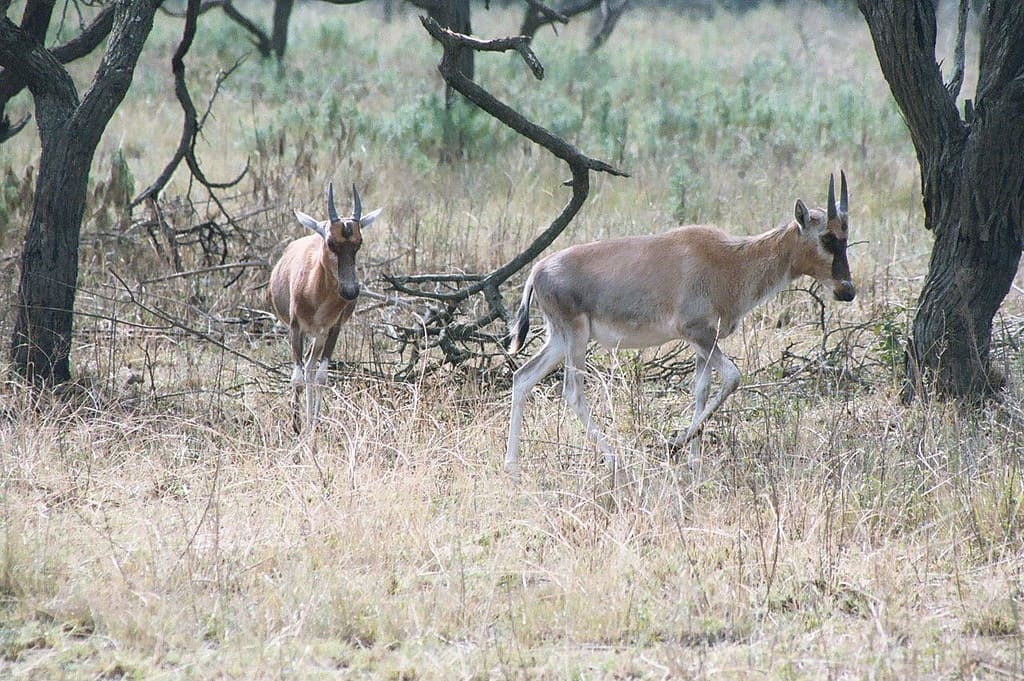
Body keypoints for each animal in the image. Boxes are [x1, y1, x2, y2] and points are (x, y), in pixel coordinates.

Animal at [268, 182, 382, 433]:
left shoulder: (333, 329)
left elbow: (321, 376)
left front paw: (315, 423)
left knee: (311, 367)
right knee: (305, 369)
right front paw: (296, 427)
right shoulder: (295, 328)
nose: (350, 291)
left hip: (319, 335)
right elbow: (296, 377)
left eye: (358, 243)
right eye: (331, 242)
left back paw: (311, 420)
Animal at [505, 172, 854, 478]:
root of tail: (537, 270)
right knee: (573, 392)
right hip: (575, 339)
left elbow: (702, 389)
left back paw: (513, 467)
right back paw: (616, 461)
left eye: (845, 237)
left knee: (523, 378)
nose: (847, 290)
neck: (728, 260)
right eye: (826, 237)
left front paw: (693, 462)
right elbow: (733, 377)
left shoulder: (705, 342)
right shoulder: (696, 333)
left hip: (559, 340)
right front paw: (673, 445)